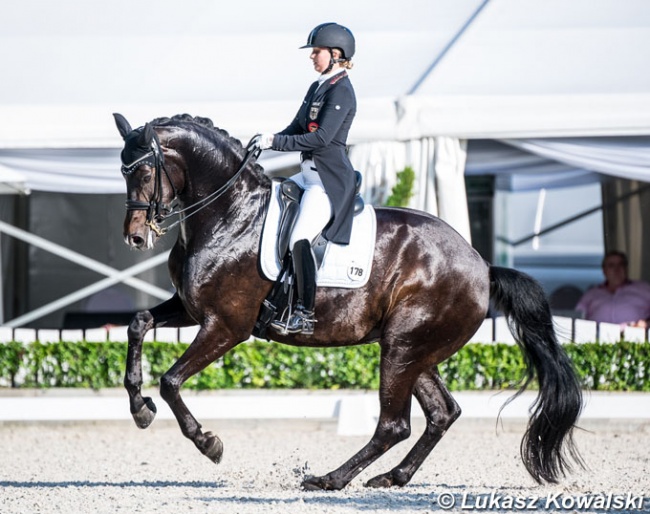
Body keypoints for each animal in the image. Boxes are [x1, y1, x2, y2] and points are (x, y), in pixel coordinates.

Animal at [111, 112, 584, 488]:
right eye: (123, 171)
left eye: (146, 172)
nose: (134, 238)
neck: (229, 214)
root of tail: (481, 265)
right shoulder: (192, 309)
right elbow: (138, 323)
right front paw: (139, 408)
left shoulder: (227, 326)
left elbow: (171, 381)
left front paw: (208, 442)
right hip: (415, 352)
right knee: (441, 413)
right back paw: (391, 477)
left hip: (402, 349)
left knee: (394, 425)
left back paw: (329, 479)